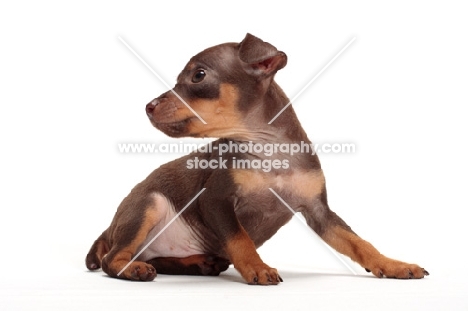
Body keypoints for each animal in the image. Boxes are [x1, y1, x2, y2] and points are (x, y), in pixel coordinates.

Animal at [86, 33, 430, 286]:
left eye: (198, 76)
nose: (148, 106)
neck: (269, 151)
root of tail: (108, 230)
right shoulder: (215, 200)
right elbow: (240, 238)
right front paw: (257, 267)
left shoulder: (319, 211)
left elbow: (359, 243)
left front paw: (392, 265)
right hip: (150, 204)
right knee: (112, 260)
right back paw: (134, 269)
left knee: (154, 259)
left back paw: (198, 263)